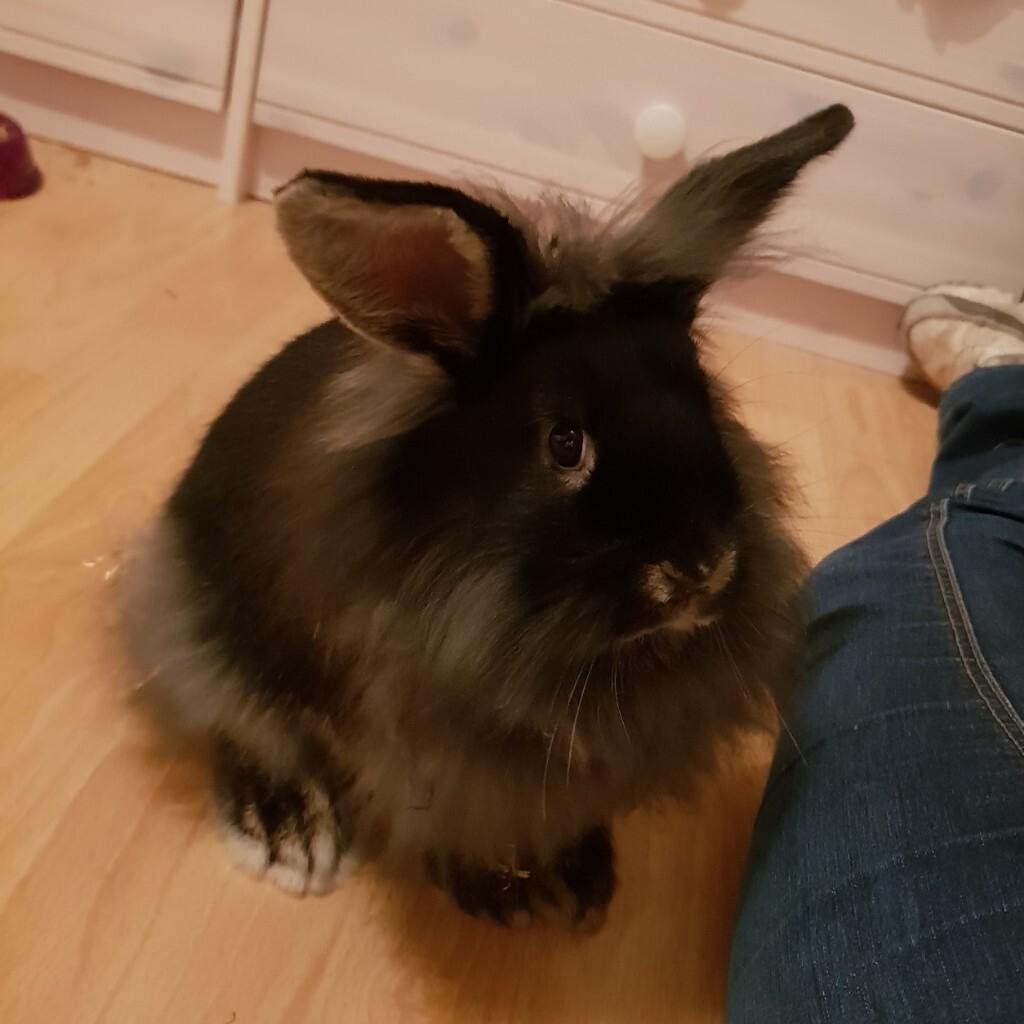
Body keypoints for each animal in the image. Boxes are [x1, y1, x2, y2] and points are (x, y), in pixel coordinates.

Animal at [122, 104, 854, 929]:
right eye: (565, 443)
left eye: (706, 402)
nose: (701, 567)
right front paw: (501, 889)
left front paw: (576, 876)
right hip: (207, 616)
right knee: (237, 713)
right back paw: (289, 834)